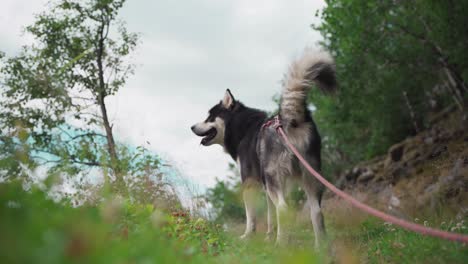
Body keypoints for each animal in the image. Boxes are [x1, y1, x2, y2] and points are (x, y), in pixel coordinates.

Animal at [190, 50, 336, 248]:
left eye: (209, 117)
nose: (191, 127)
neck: (243, 128)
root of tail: (289, 119)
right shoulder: (269, 186)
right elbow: (270, 216)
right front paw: (269, 236)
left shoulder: (250, 182)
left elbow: (251, 216)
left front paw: (248, 236)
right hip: (309, 176)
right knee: (317, 212)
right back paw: (320, 248)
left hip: (275, 176)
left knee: (283, 208)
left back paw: (280, 245)